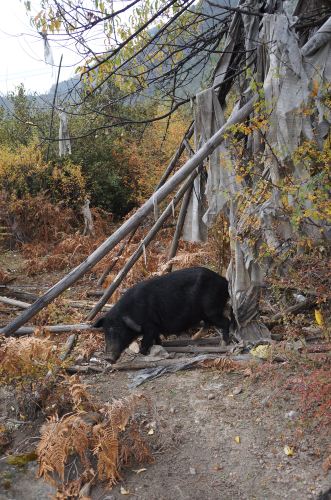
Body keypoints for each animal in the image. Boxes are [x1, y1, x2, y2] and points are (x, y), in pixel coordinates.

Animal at [94, 266, 232, 364]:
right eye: (105, 331)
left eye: (120, 331)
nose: (108, 358)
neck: (133, 311)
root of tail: (225, 282)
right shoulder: (155, 327)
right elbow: (156, 339)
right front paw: (159, 345)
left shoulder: (150, 325)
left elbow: (145, 342)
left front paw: (143, 353)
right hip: (206, 313)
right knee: (209, 324)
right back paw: (194, 339)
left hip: (212, 309)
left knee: (226, 322)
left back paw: (223, 344)